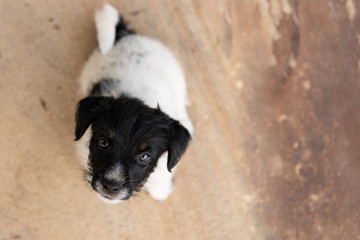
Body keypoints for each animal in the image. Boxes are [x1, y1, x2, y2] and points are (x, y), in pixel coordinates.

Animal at [74, 4, 194, 202]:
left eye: (145, 157)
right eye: (103, 143)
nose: (111, 186)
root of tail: (126, 35)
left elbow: (164, 172)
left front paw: (160, 189)